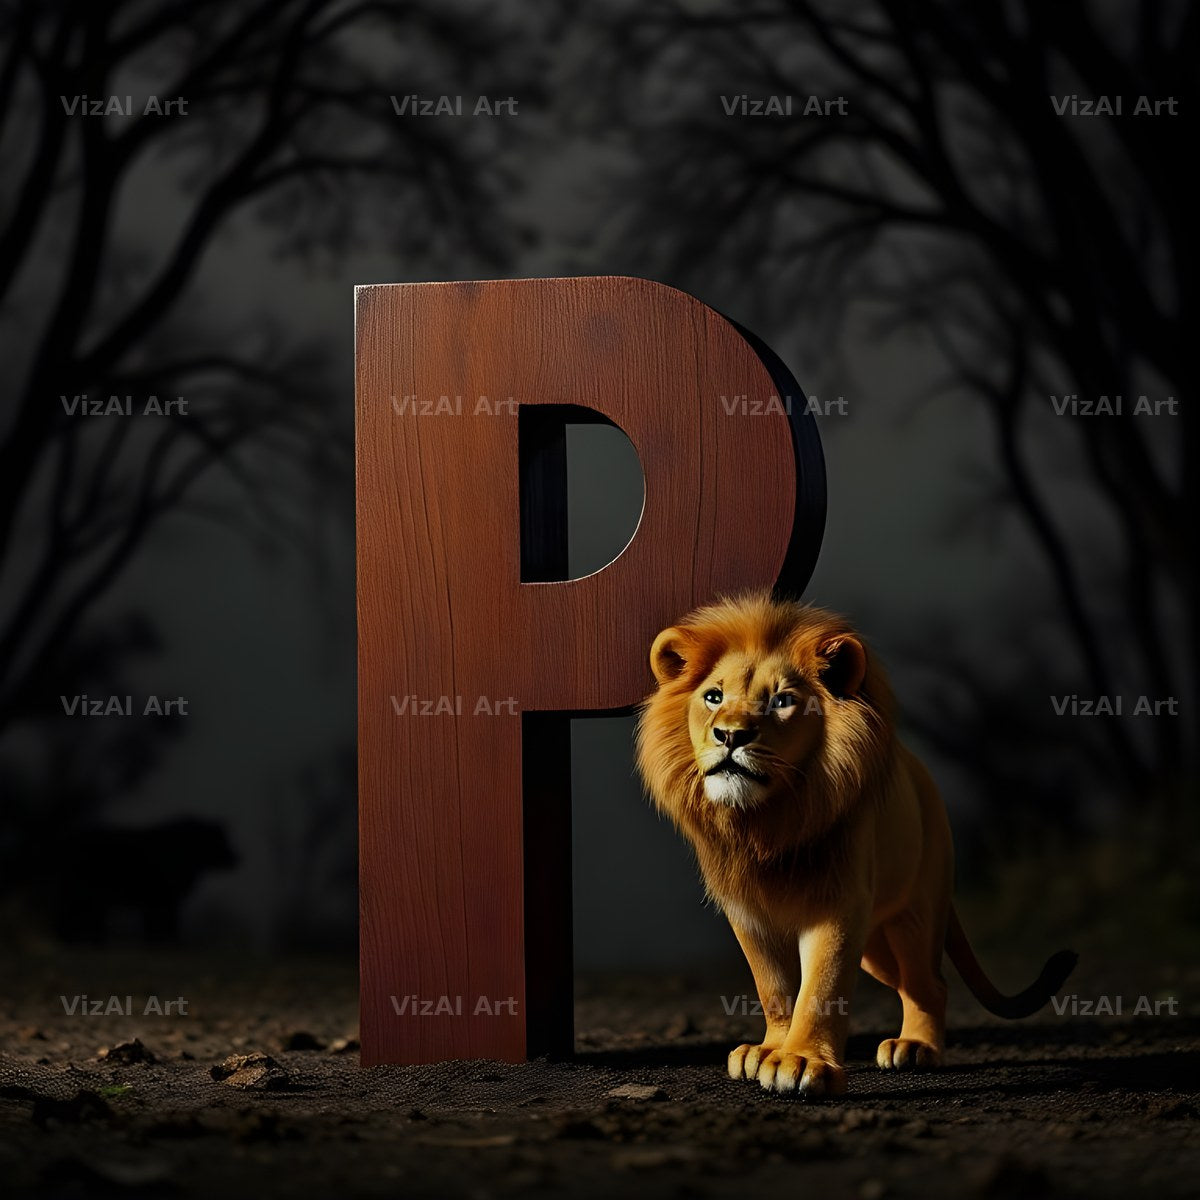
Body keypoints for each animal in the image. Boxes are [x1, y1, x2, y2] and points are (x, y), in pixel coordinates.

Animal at [636, 591, 1076, 1097]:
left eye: (782, 701)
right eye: (713, 696)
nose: (729, 735)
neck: (766, 821)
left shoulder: (838, 901)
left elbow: (821, 989)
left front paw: (802, 1062)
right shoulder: (747, 910)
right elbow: (775, 989)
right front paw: (768, 1051)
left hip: (915, 914)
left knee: (929, 983)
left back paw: (916, 1047)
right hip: (876, 949)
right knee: (907, 983)